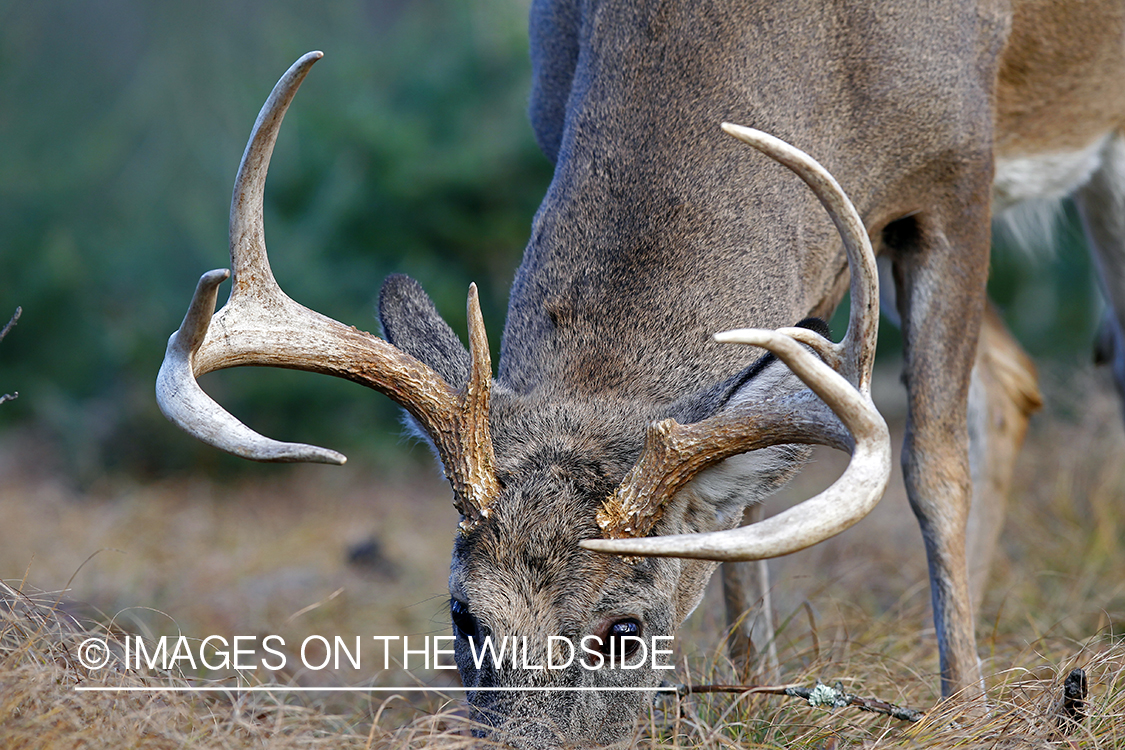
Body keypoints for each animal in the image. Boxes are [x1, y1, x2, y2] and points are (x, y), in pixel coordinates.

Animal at [158, 1, 1125, 746]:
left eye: (623, 632)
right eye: (464, 617)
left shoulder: (956, 176)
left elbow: (930, 465)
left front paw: (965, 710)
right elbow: (748, 518)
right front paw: (756, 698)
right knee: (1021, 378)